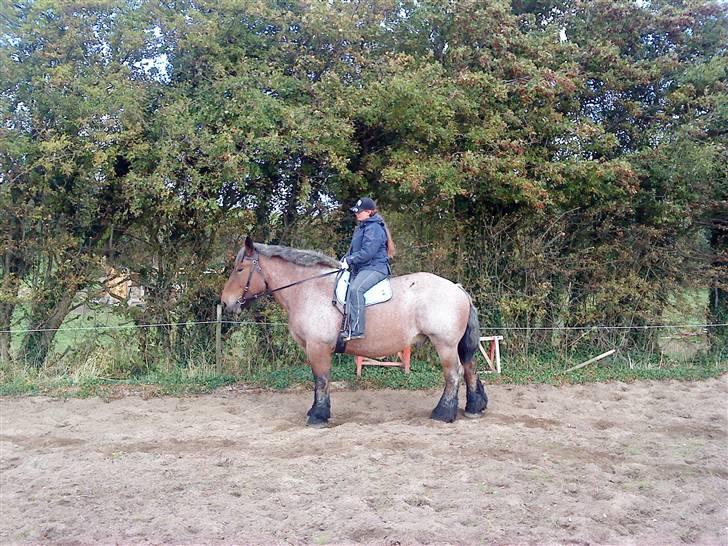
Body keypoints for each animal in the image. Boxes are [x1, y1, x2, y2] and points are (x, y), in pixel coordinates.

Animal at [219, 234, 486, 424]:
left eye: (240, 269)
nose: (226, 303)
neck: (308, 289)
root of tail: (457, 288)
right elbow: (319, 380)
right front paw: (317, 411)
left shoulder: (318, 347)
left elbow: (321, 379)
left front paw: (318, 415)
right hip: (456, 345)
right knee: (470, 369)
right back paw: (474, 408)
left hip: (445, 344)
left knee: (453, 374)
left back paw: (443, 413)